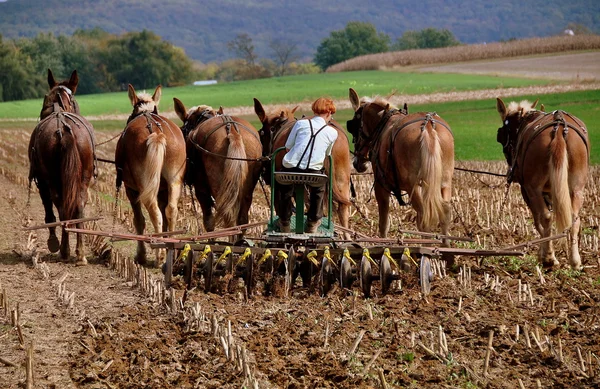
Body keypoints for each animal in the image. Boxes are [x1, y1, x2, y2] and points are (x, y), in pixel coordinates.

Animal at [27, 69, 96, 264]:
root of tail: (64, 130)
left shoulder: (41, 181)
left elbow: (49, 212)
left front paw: (53, 241)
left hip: (51, 178)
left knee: (61, 207)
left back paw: (64, 249)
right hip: (84, 177)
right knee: (79, 206)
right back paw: (80, 253)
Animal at [114, 85, 185, 266]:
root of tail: (156, 133)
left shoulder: (131, 190)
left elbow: (139, 220)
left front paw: (141, 255)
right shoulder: (162, 190)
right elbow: (166, 216)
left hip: (143, 187)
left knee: (154, 212)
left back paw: (159, 257)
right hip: (174, 181)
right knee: (171, 210)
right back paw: (170, 252)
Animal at [171, 100, 260, 233]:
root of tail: (232, 132)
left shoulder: (201, 190)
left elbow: (208, 221)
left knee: (229, 218)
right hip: (247, 189)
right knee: (242, 220)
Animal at [252, 97, 354, 236]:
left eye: (261, 133)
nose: (264, 171)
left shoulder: (279, 185)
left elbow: (281, 206)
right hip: (341, 178)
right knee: (342, 209)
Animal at [346, 88, 454, 242]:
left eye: (353, 127)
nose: (357, 162)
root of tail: (428, 126)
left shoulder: (381, 186)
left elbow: (383, 223)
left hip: (413, 186)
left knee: (423, 218)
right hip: (444, 181)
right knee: (444, 212)